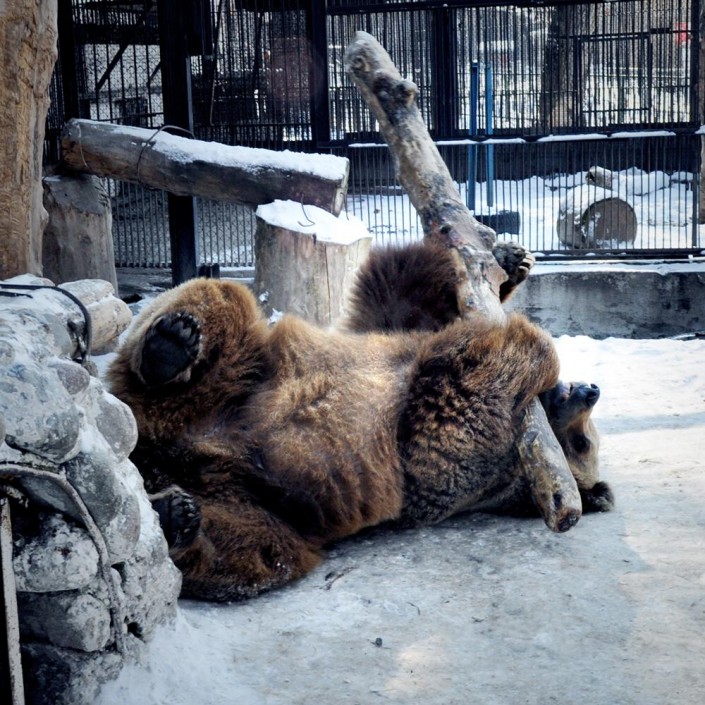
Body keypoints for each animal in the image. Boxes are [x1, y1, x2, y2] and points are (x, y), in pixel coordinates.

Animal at [107, 270, 562, 601]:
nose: (572, 393)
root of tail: (158, 454)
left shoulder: (443, 463)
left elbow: (444, 450)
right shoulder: (401, 341)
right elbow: (406, 297)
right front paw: (524, 325)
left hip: (264, 503)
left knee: (252, 550)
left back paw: (176, 517)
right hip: (238, 381)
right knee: (218, 300)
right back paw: (170, 344)